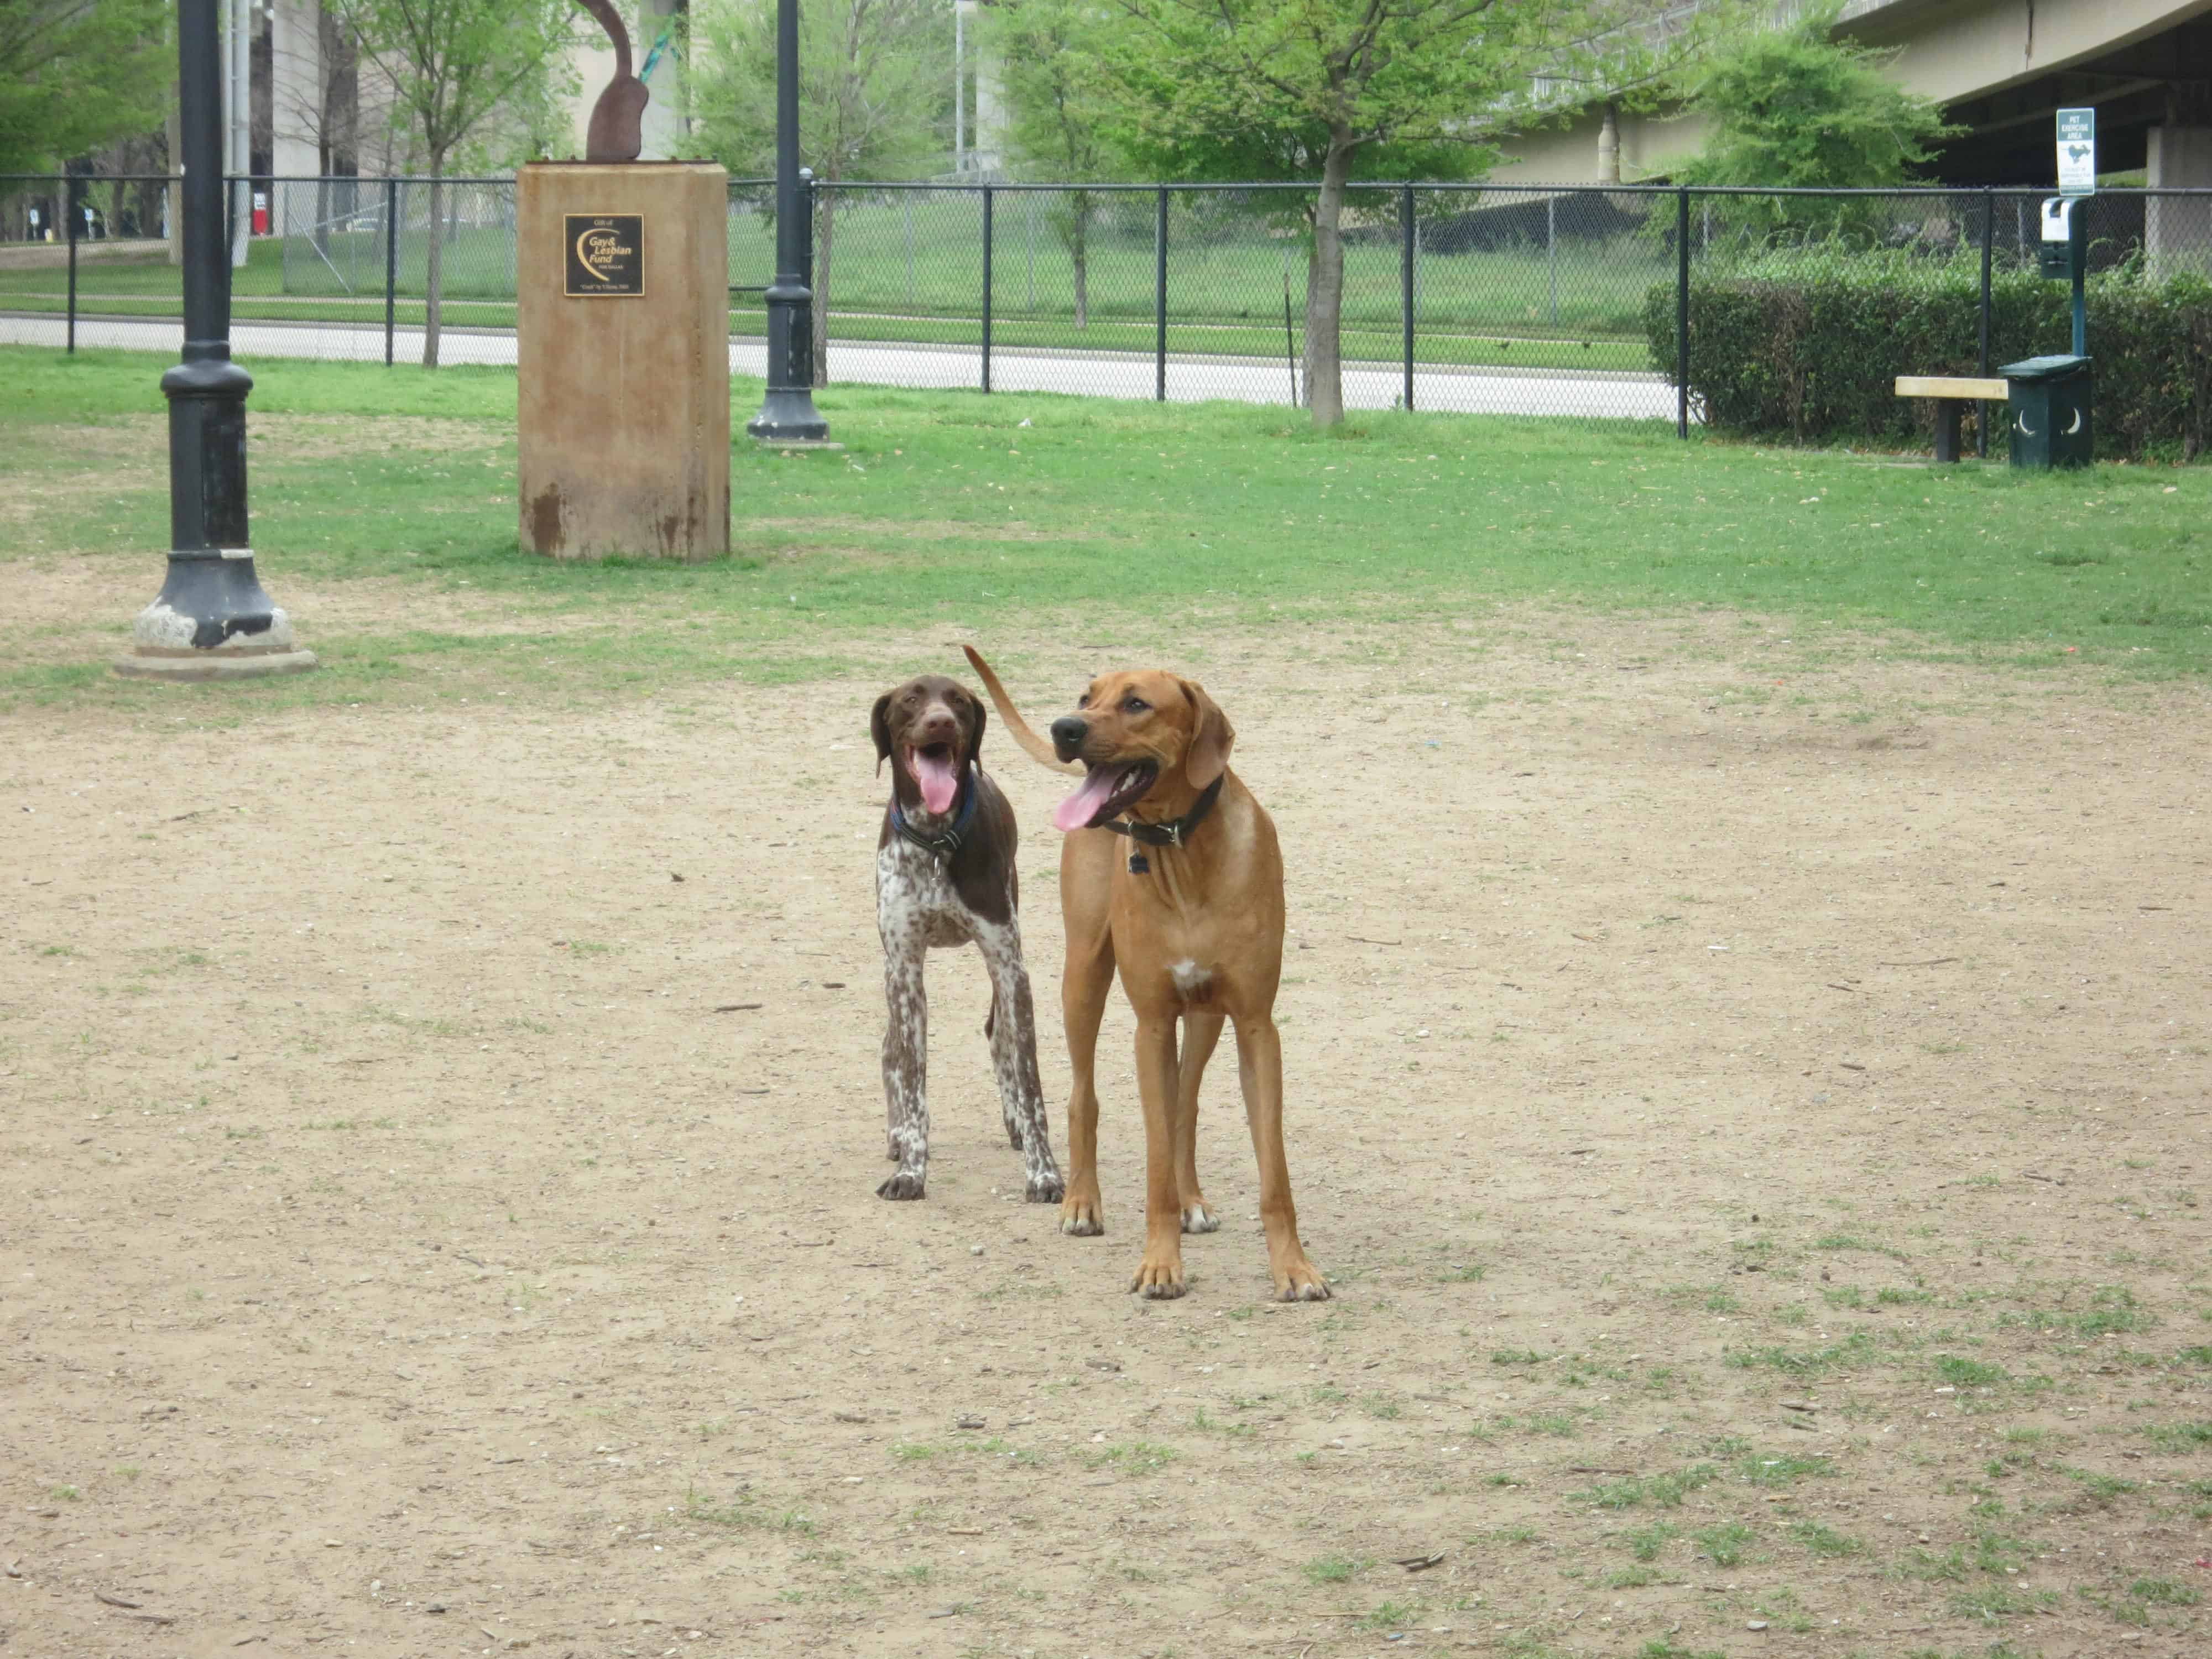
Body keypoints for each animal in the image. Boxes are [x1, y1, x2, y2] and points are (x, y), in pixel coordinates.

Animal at [872, 677, 1062, 1212]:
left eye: (957, 699)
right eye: (911, 700)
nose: (941, 722)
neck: (936, 841)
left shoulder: (1009, 964)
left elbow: (1030, 1081)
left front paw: (1043, 1173)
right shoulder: (905, 972)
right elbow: (912, 1076)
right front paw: (911, 1170)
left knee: (998, 1036)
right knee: (890, 1050)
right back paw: (896, 1135)